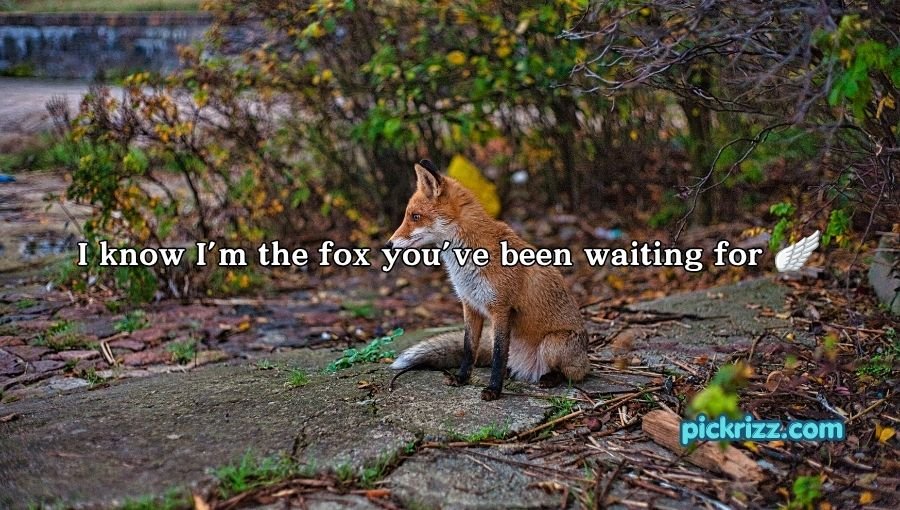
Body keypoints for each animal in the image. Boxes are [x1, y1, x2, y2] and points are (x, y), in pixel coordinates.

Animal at [385, 159, 590, 401]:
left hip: (553, 344)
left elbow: (498, 355)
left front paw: (493, 389)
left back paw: (549, 378)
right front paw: (462, 378)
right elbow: (469, 348)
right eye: (409, 215)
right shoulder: (470, 305)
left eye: (415, 216)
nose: (388, 245)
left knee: (569, 374)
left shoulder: (500, 309)